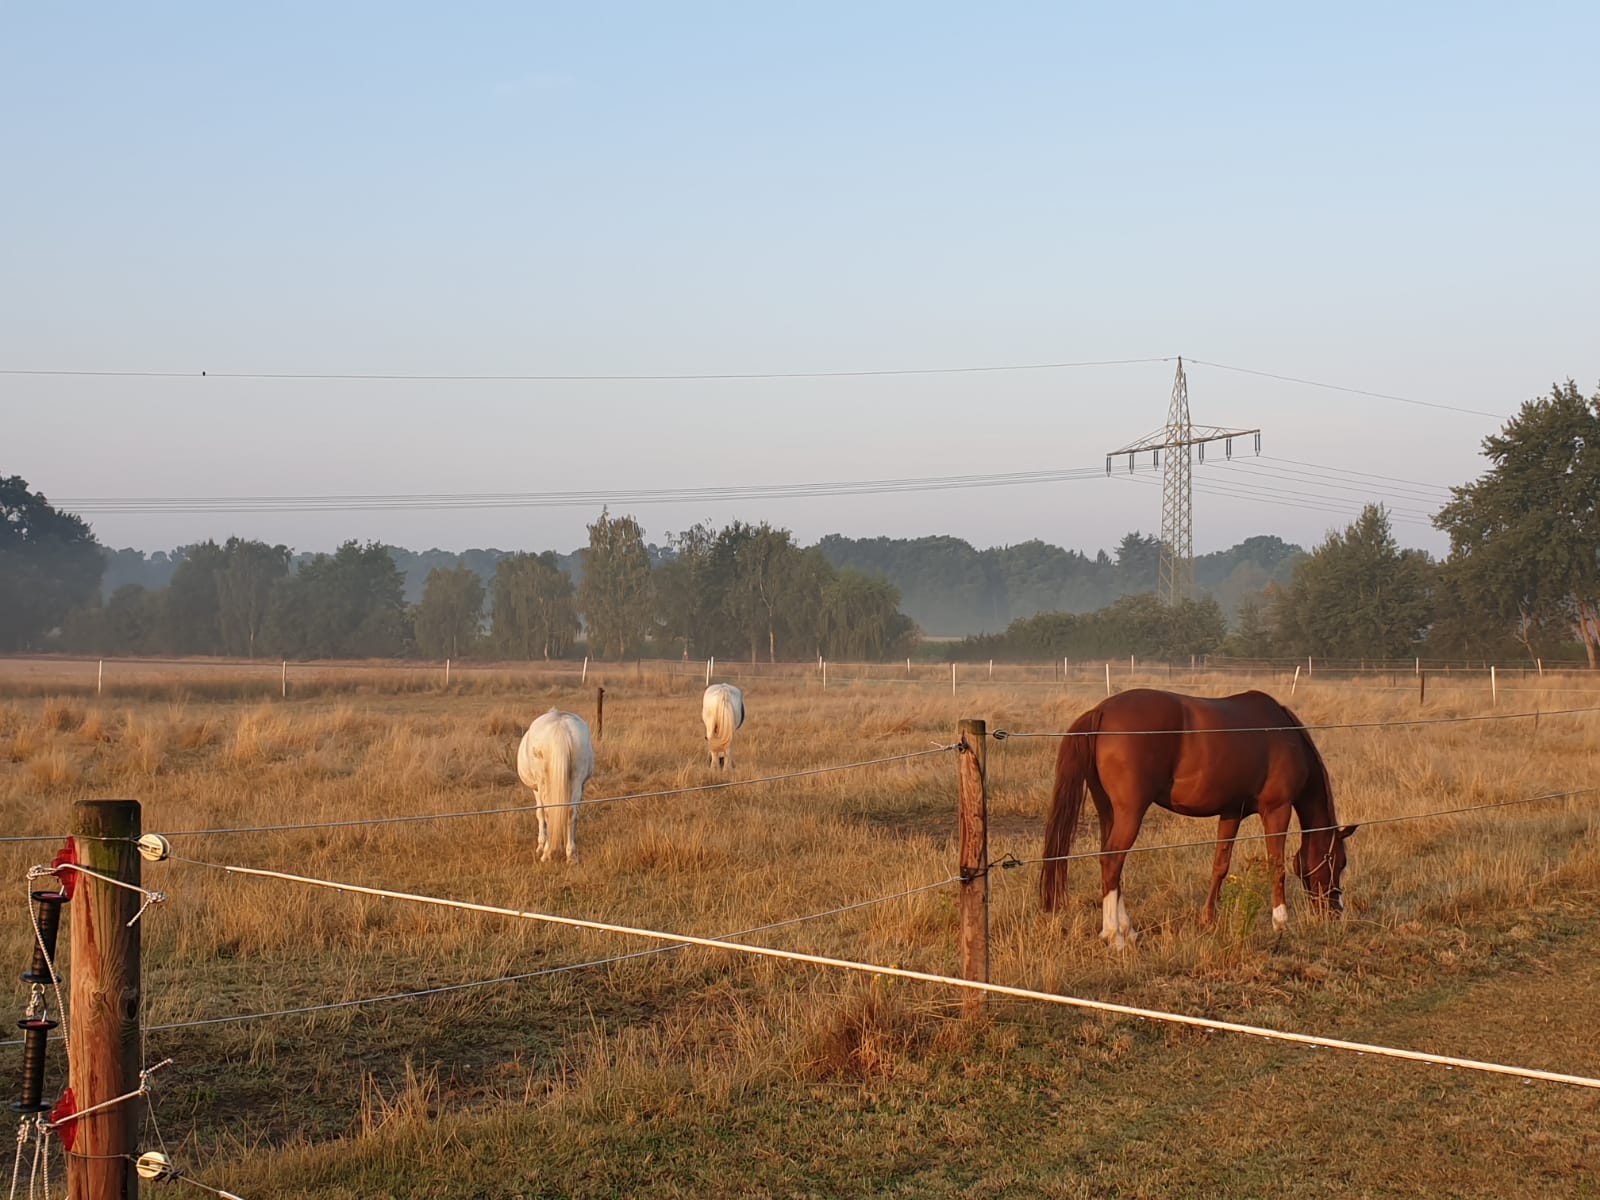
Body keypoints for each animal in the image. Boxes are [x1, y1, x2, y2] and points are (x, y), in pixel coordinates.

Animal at [518, 704, 595, 864]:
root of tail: (561, 726)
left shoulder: (536, 789)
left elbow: (540, 813)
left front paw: (541, 845)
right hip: (577, 779)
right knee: (571, 812)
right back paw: (571, 855)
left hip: (543, 783)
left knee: (548, 811)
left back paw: (546, 853)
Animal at [1036, 691, 1350, 953]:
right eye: (1339, 861)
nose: (1335, 910)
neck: (1282, 732)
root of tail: (1101, 711)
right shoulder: (1277, 809)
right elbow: (1277, 865)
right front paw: (1281, 921)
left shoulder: (1232, 811)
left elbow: (1220, 865)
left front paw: (1208, 919)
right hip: (1129, 813)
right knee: (1113, 860)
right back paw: (1115, 937)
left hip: (1108, 810)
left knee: (1109, 862)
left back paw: (1125, 930)